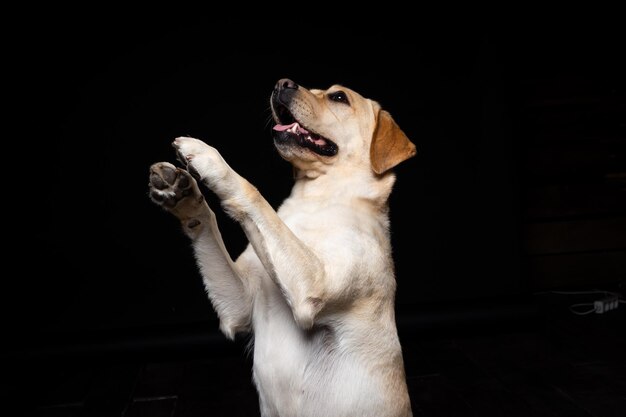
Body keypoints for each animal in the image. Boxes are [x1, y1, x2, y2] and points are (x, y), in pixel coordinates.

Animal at [147, 79, 414, 416]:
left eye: (339, 97)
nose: (282, 83)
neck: (316, 198)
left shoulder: (312, 286)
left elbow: (252, 192)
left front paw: (209, 158)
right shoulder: (239, 306)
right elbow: (209, 220)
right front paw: (184, 197)